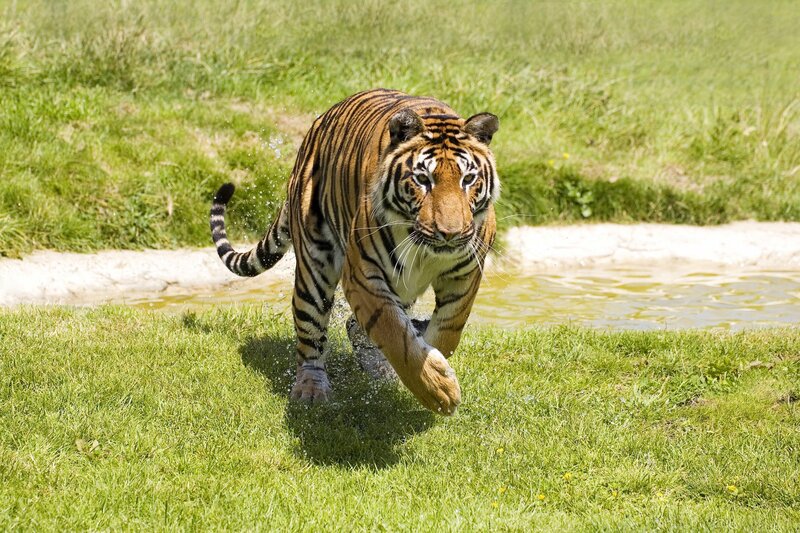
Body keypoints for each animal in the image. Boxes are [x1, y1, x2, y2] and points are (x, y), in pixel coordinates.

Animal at [210, 89, 499, 415]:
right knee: (311, 335)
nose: (450, 234)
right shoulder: (362, 274)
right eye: (423, 179)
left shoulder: (467, 273)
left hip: (402, 286)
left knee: (354, 323)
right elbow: (393, 332)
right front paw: (440, 391)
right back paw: (311, 390)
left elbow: (449, 331)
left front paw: (433, 361)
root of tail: (315, 128)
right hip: (315, 268)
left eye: (468, 179)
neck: (428, 251)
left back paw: (380, 369)